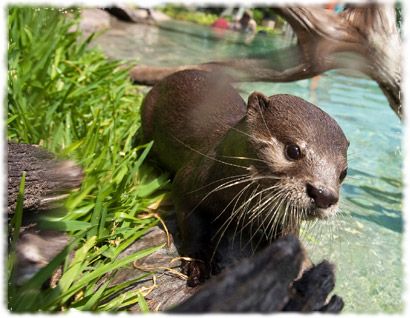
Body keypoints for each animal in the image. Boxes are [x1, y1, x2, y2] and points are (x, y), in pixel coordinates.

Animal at [141, 69, 350, 286]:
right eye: (293, 150)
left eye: (343, 172)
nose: (324, 195)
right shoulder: (187, 182)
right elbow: (192, 225)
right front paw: (197, 264)